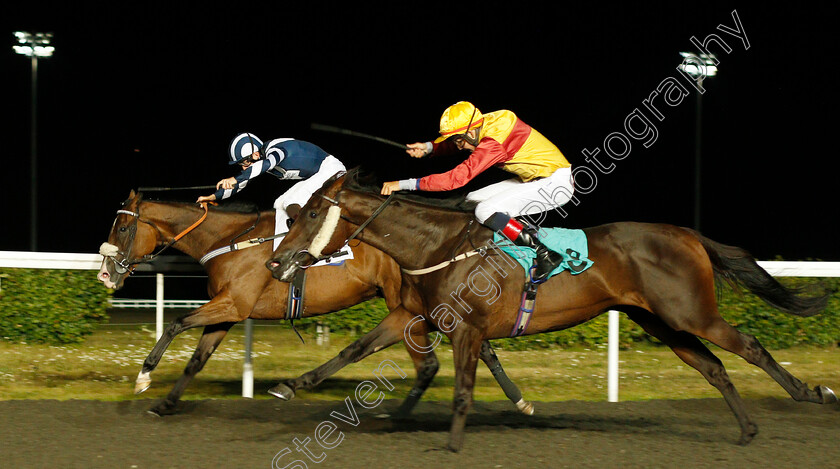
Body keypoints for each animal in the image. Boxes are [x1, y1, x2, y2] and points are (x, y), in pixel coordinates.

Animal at [97, 191, 532, 416]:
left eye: (123, 227)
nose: (105, 274)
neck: (230, 239)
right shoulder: (228, 311)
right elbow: (197, 359)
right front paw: (166, 403)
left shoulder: (234, 304)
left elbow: (176, 323)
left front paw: (144, 377)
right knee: (484, 348)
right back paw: (519, 400)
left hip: (410, 303)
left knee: (439, 357)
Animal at [266, 170, 836, 452]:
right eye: (296, 213)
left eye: (310, 213)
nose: (275, 262)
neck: (436, 245)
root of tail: (687, 233)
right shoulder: (412, 315)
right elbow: (353, 350)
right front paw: (291, 385)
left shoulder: (468, 329)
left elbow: (464, 389)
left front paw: (453, 445)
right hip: (660, 321)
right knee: (715, 368)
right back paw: (748, 430)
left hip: (691, 313)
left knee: (750, 347)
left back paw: (812, 394)